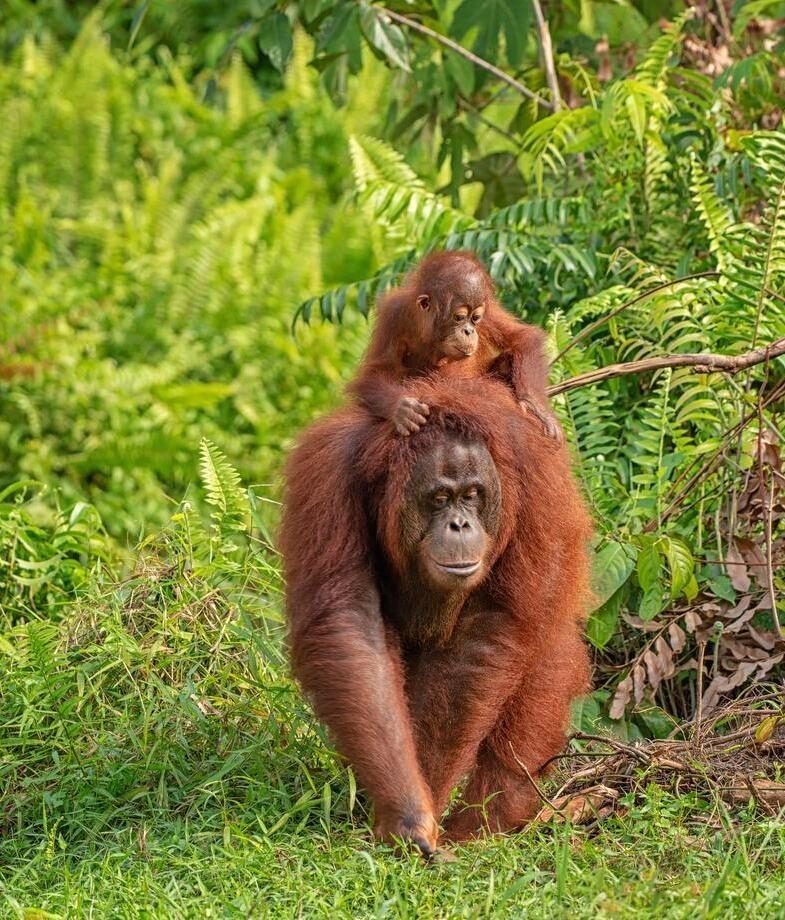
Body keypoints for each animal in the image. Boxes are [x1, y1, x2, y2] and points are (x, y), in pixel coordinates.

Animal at [347, 250, 562, 442]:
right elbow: (376, 372)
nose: (469, 331)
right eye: (459, 318)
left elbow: (523, 338)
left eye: (475, 318)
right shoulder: (393, 315)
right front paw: (401, 409)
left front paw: (535, 406)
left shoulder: (488, 309)